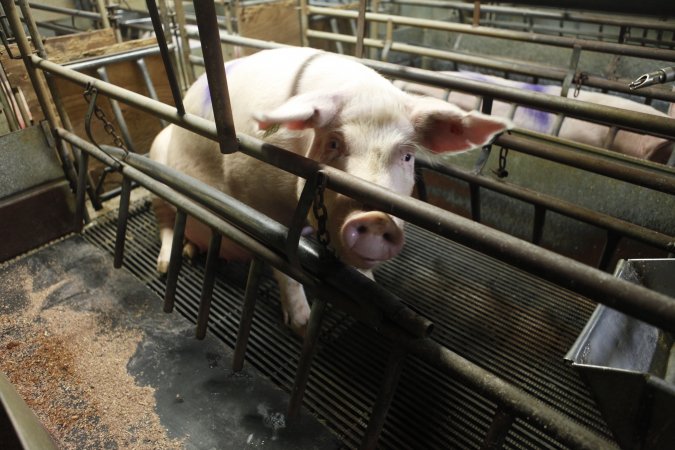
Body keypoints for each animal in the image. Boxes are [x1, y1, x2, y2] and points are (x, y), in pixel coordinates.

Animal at [151, 47, 510, 336]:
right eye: (334, 144)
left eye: (407, 156)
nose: (377, 218)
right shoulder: (258, 204)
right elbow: (284, 268)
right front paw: (301, 326)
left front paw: (369, 284)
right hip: (158, 161)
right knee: (166, 221)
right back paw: (170, 264)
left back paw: (190, 251)